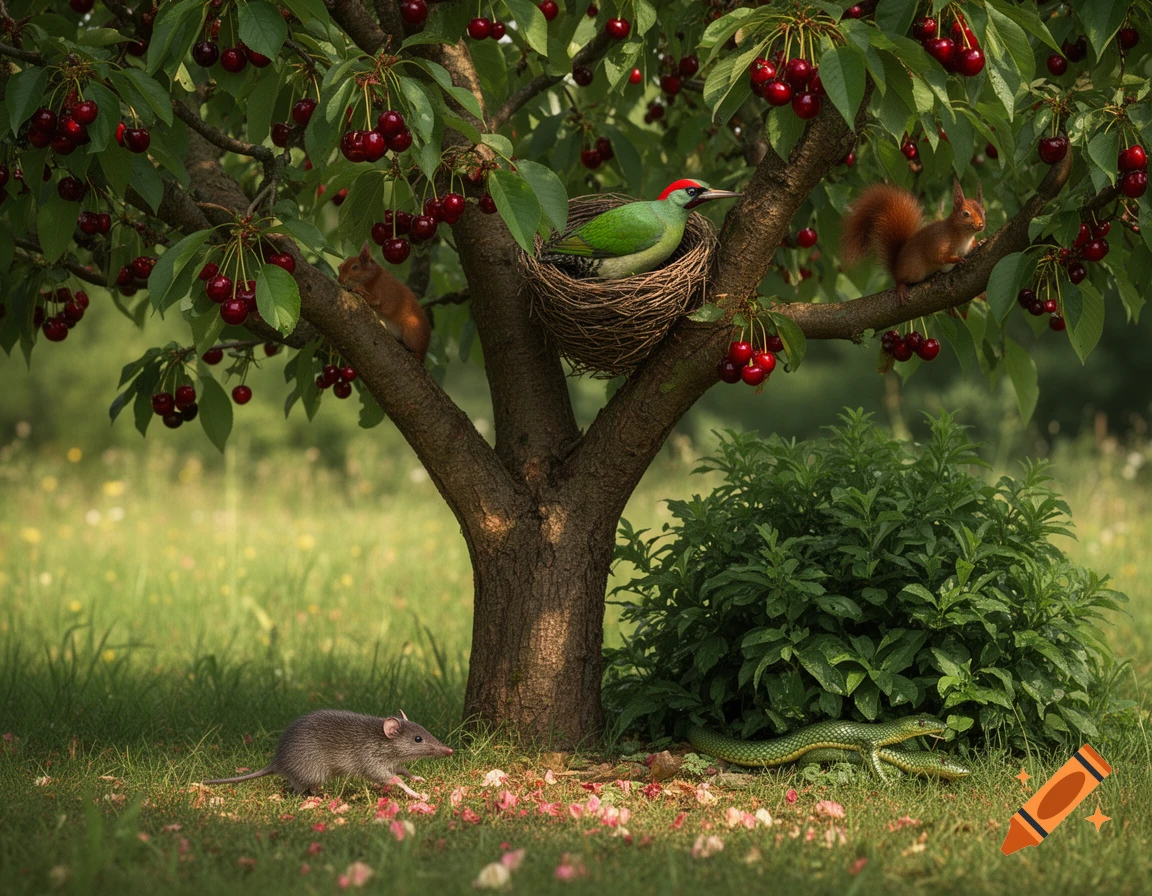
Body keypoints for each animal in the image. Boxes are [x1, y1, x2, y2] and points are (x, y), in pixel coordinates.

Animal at [841, 177, 985, 303]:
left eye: (983, 213)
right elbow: (938, 256)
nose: (981, 225)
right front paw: (957, 259)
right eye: (966, 214)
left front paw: (980, 242)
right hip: (914, 269)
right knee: (900, 280)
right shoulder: (939, 241)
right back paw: (900, 287)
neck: (964, 236)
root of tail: (896, 267)